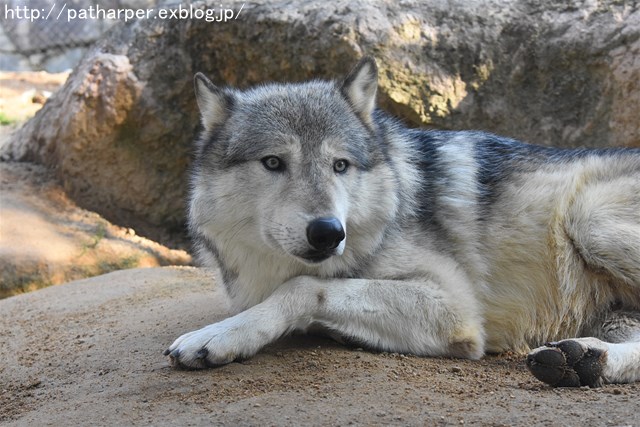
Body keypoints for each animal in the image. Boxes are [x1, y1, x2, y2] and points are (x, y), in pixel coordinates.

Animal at [166, 56, 640, 388]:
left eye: (340, 165)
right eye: (272, 162)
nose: (328, 232)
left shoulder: (454, 306)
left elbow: (303, 287)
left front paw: (219, 337)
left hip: (588, 218)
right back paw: (583, 362)